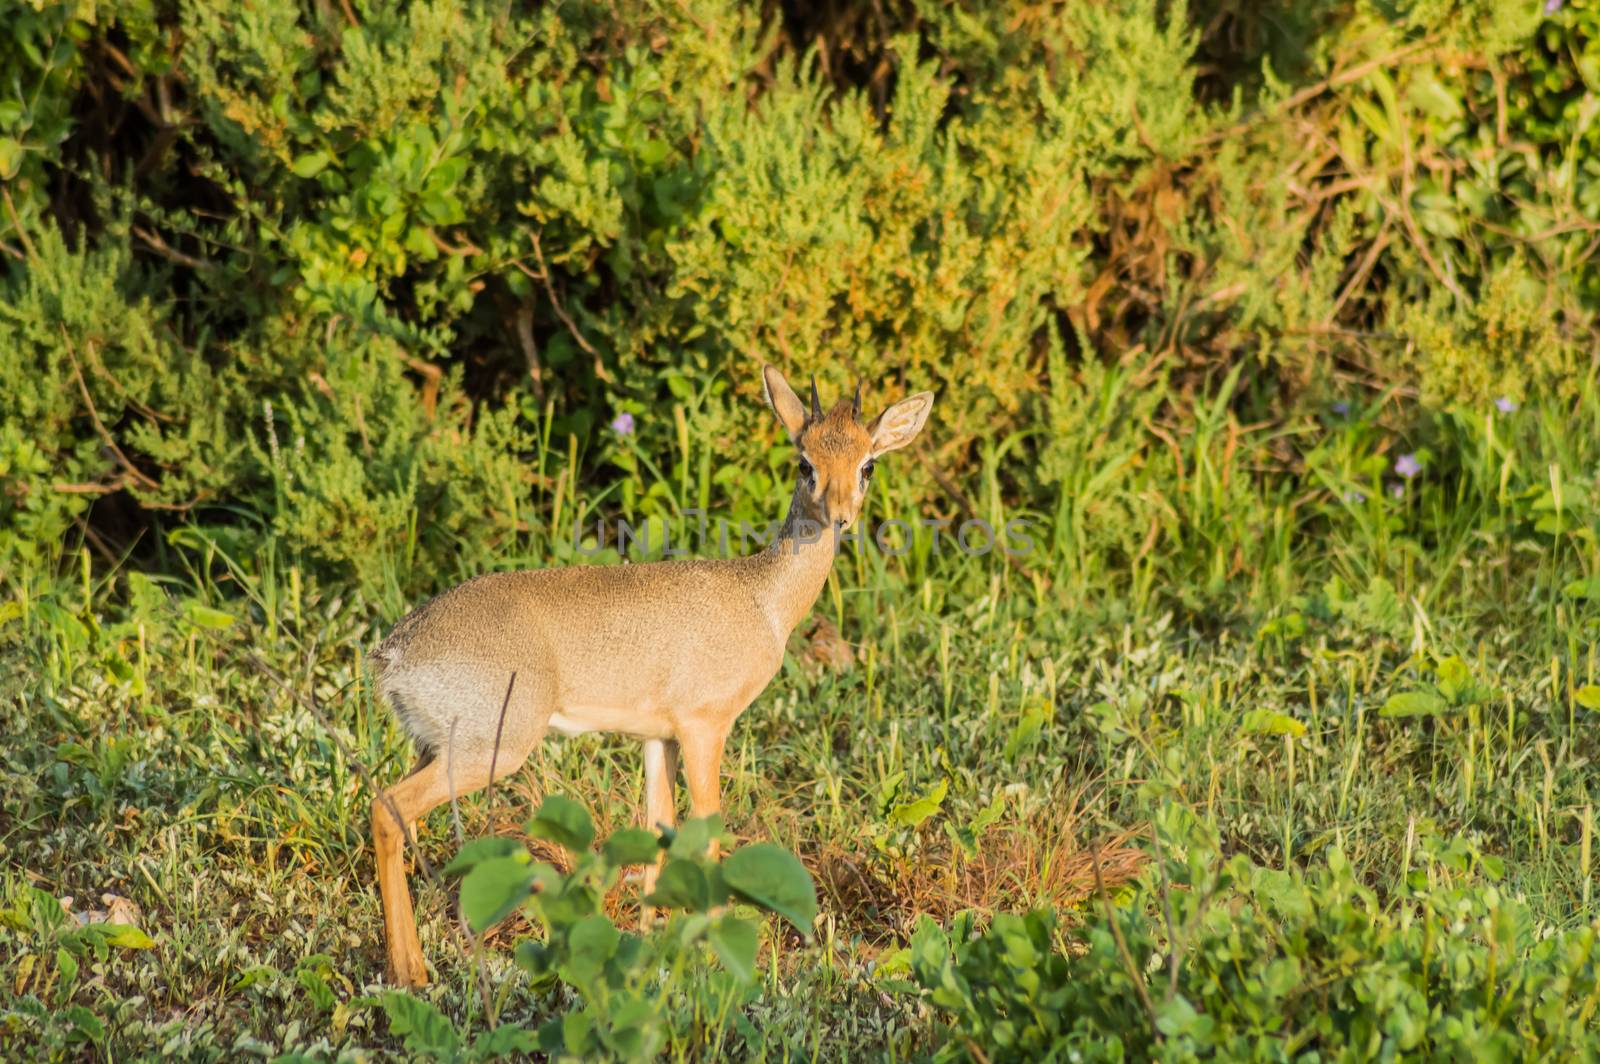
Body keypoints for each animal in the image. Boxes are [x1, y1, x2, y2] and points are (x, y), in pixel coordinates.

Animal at [368, 368, 934, 985]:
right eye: (805, 462)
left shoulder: (657, 739)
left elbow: (659, 833)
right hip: (491, 750)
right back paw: (411, 972)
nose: (840, 516)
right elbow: (707, 834)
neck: (762, 602)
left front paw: (649, 950)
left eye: (867, 464)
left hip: (433, 747)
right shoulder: (705, 726)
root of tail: (395, 651)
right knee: (386, 808)